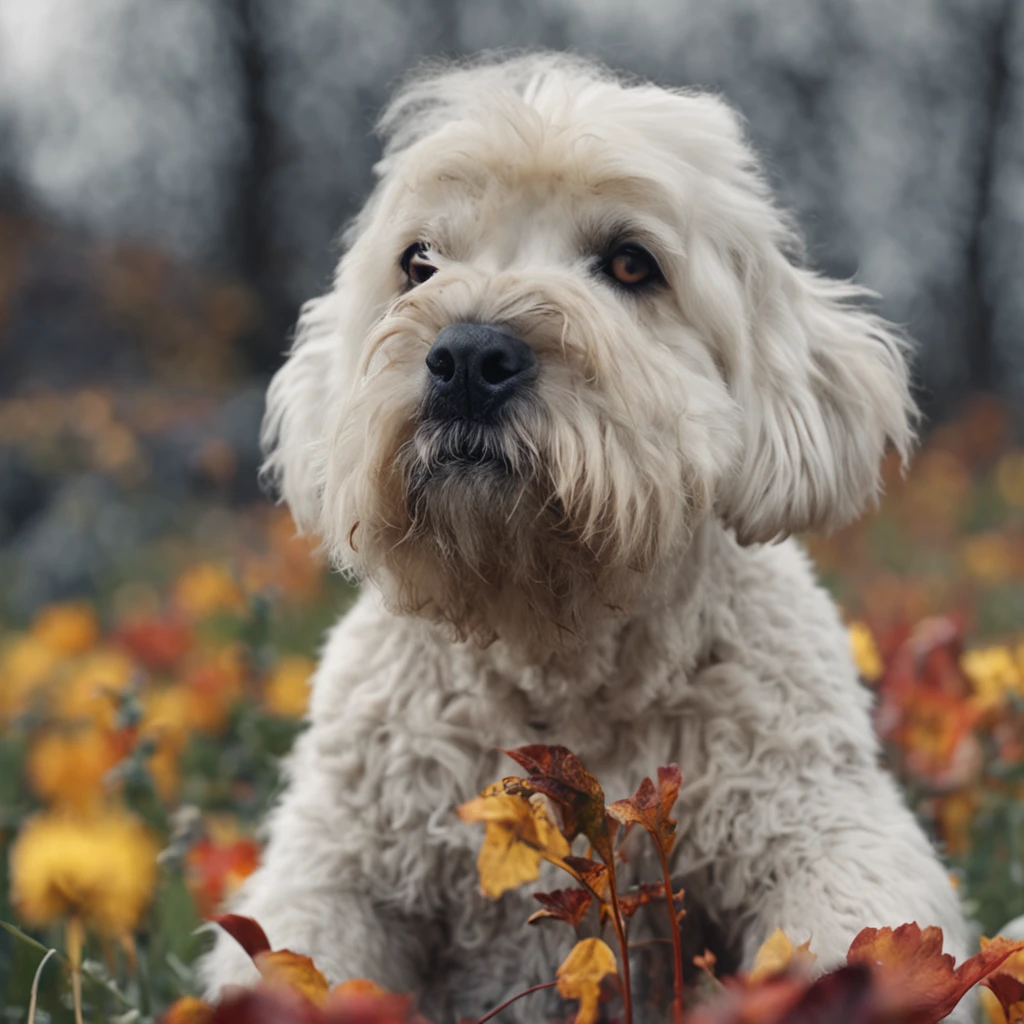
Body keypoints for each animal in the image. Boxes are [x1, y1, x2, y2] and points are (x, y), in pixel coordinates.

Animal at [201, 54, 966, 1015]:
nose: (466, 358)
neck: (557, 648)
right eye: (418, 261)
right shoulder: (336, 864)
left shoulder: (827, 824)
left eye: (632, 263)